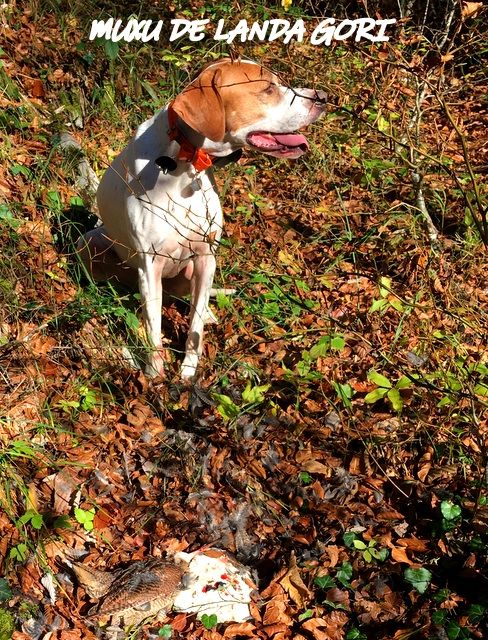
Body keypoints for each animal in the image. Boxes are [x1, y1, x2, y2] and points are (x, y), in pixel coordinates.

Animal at [78, 57, 326, 378]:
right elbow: (154, 332)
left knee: (196, 298)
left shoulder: (206, 256)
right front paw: (154, 378)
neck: (184, 164)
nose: (322, 97)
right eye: (268, 88)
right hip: (89, 244)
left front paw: (187, 374)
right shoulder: (150, 265)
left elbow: (194, 328)